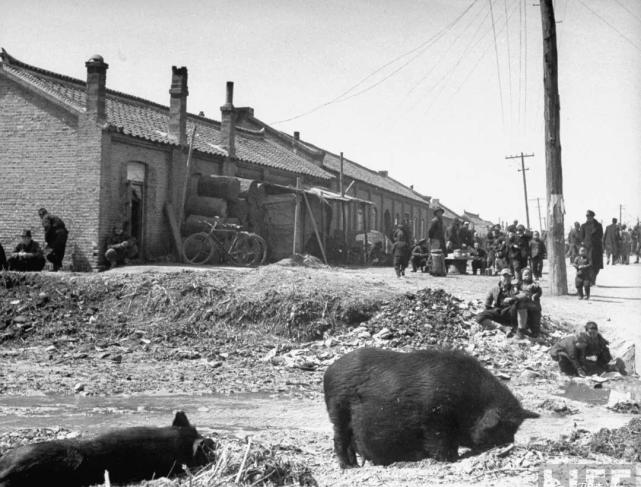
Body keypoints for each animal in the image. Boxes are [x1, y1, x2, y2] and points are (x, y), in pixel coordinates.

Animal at [322, 346, 536, 468]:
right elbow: (439, 441)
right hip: (337, 409)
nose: (509, 444)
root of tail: (329, 371)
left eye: (514, 430)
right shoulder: (435, 416)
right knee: (339, 439)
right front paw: (451, 459)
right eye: (502, 428)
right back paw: (348, 467)